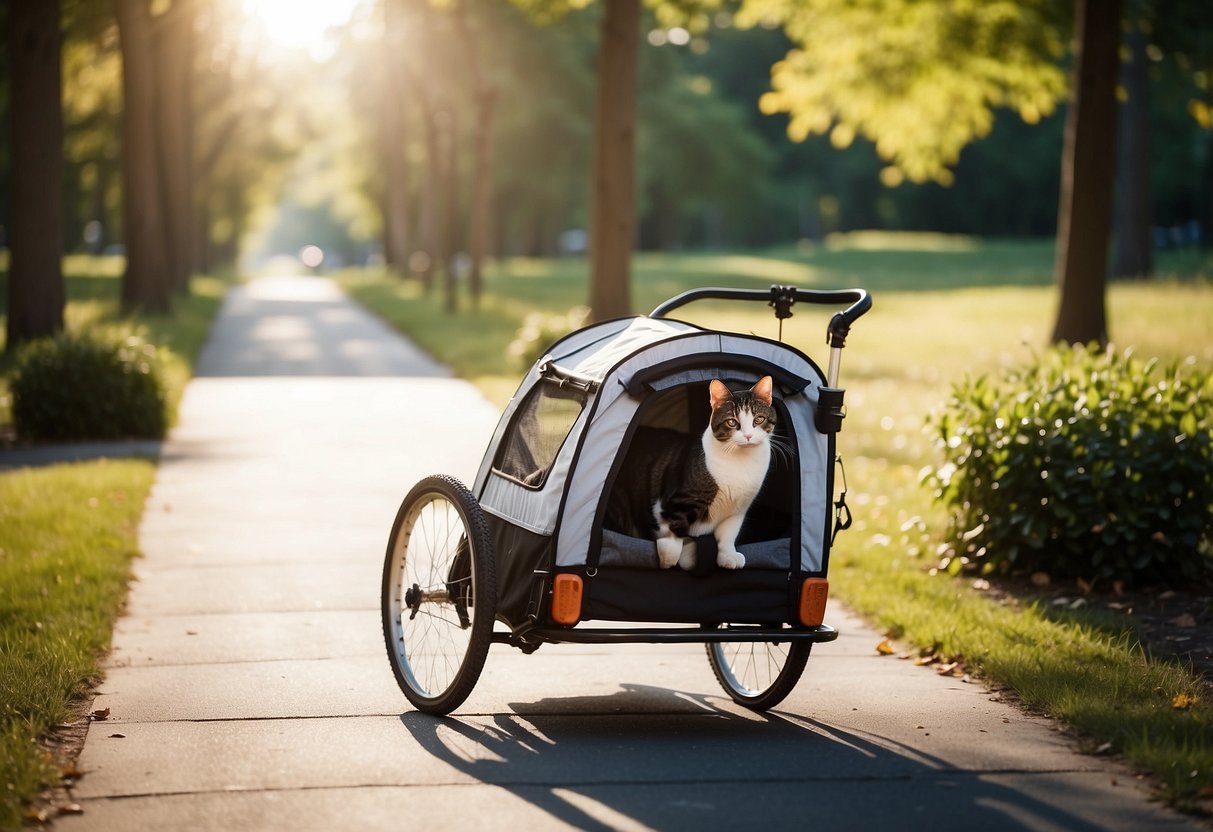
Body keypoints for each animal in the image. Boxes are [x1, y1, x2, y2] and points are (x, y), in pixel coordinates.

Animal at [604, 378, 776, 572]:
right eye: (732, 422)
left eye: (759, 419)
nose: (748, 436)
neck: (741, 461)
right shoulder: (674, 501)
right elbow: (676, 529)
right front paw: (673, 554)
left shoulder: (737, 509)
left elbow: (727, 535)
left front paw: (727, 556)